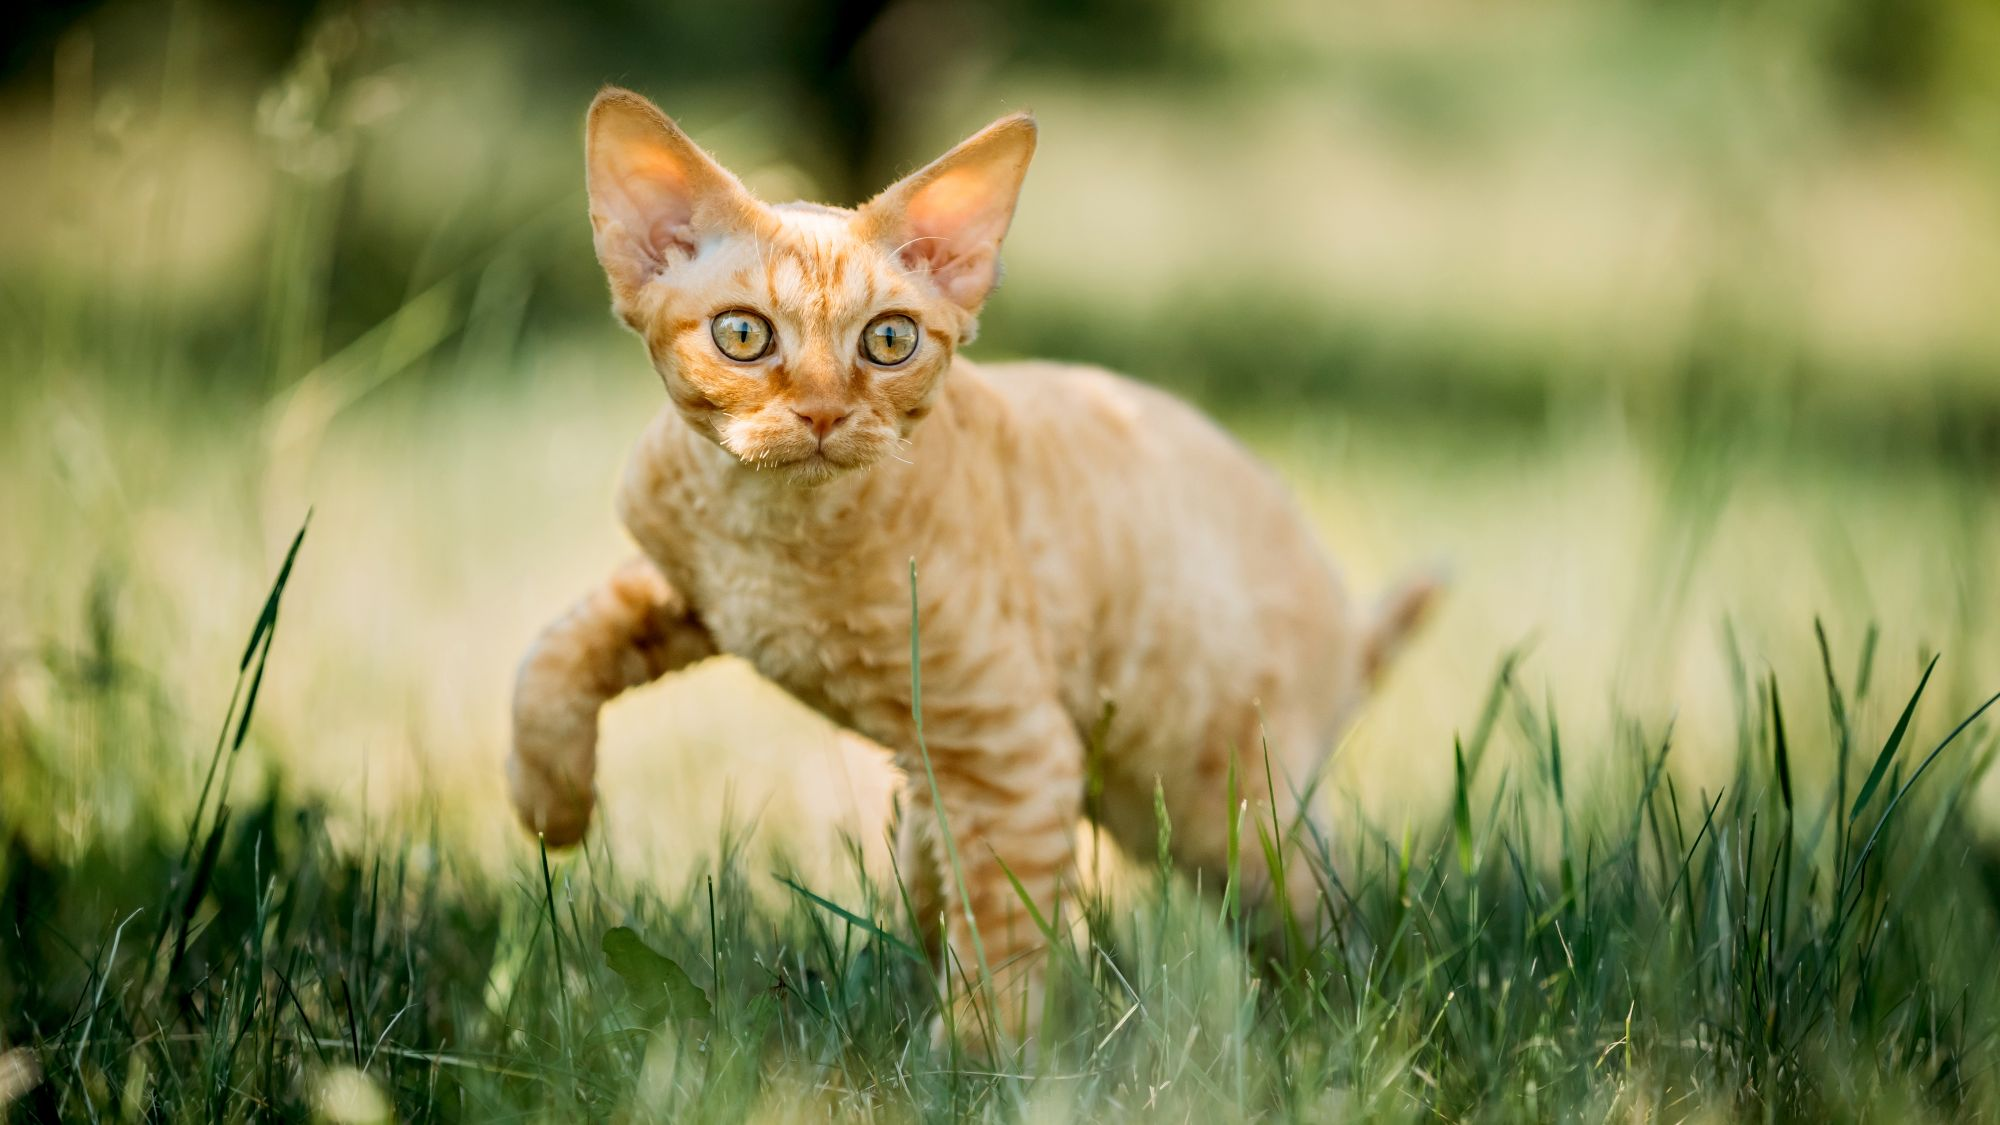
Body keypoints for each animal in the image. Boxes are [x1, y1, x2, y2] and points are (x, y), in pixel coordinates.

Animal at [504, 85, 1440, 1040]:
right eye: (743, 335)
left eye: (889, 341)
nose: (821, 414)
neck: (770, 533)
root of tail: (1344, 618)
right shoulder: (685, 584)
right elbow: (552, 653)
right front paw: (552, 807)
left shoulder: (1014, 752)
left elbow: (998, 957)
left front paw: (976, 1060)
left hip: (1223, 803)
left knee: (1322, 919)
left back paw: (1342, 1018)